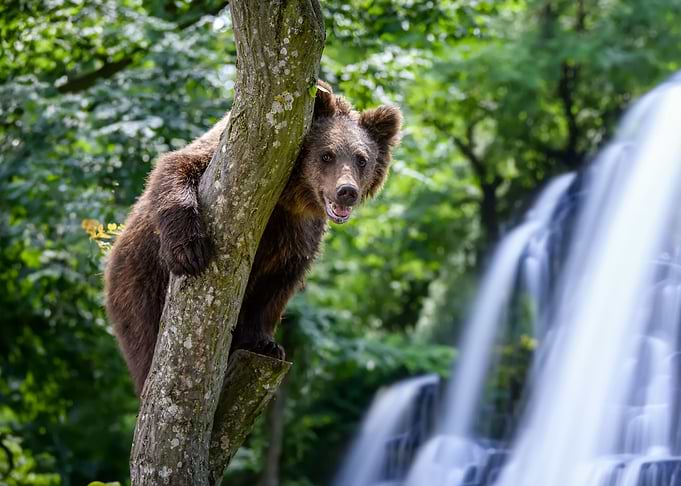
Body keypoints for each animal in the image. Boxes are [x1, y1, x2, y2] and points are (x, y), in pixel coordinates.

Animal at [104, 81, 402, 395]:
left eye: (362, 159)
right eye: (327, 154)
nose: (347, 191)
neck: (287, 197)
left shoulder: (297, 235)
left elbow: (274, 287)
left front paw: (266, 343)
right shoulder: (222, 160)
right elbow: (175, 167)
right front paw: (189, 252)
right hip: (138, 282)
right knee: (143, 336)